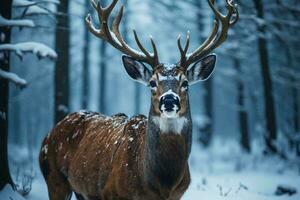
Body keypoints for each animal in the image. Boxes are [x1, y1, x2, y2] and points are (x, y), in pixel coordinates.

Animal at [38, 0, 238, 199]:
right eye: (152, 82)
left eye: (185, 83)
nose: (169, 100)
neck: (161, 183)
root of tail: (50, 133)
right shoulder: (111, 192)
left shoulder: (177, 194)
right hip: (53, 176)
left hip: (81, 191)